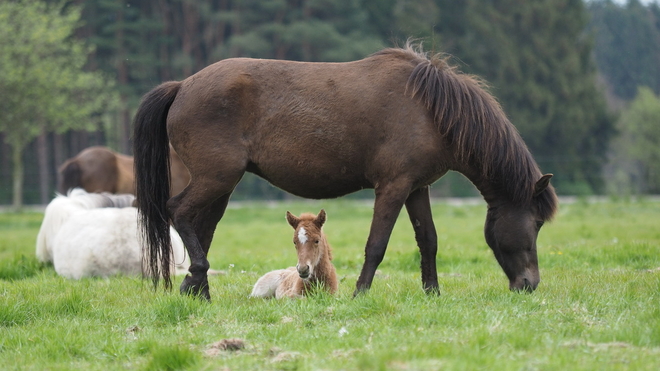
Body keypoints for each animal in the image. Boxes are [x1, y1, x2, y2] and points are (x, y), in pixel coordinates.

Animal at [133, 42, 556, 302]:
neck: (429, 108)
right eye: (535, 223)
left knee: (202, 227)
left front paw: (432, 293)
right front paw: (360, 293)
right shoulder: (393, 187)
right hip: (217, 178)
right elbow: (377, 244)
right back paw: (197, 280)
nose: (529, 285)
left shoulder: (416, 188)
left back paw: (197, 291)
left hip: (222, 186)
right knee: (179, 212)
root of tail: (183, 86)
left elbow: (429, 240)